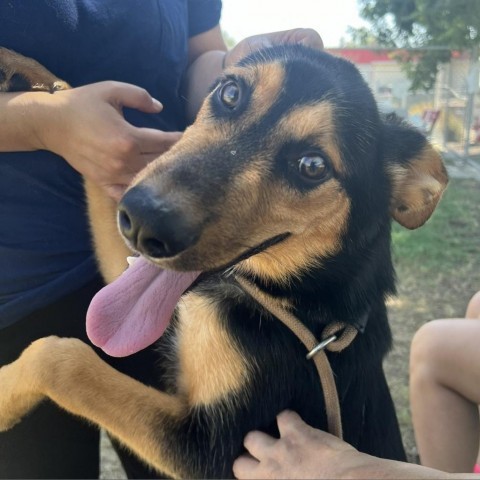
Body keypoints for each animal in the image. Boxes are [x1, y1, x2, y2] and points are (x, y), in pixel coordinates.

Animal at [0, 44, 450, 476]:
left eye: (312, 166)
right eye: (230, 94)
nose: (142, 222)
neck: (294, 305)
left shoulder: (217, 447)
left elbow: (61, 359)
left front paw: (4, 396)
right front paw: (34, 75)